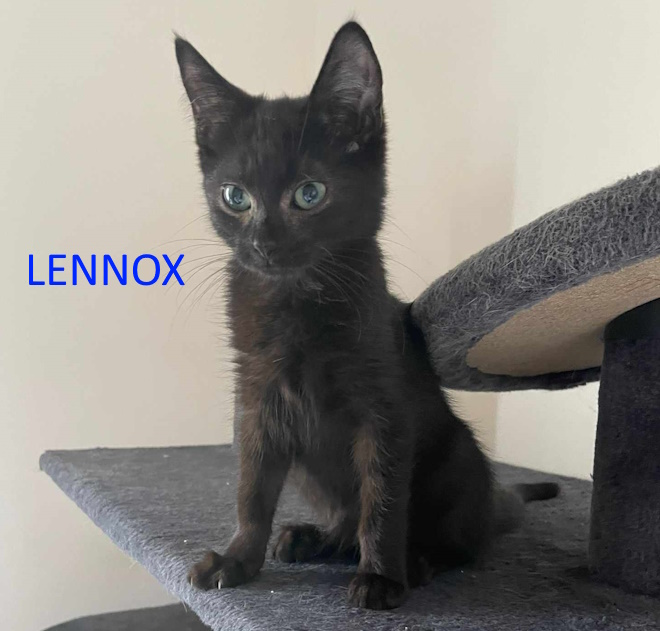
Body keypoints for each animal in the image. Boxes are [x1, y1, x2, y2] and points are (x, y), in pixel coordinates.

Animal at [176, 21, 559, 610]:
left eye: (309, 193)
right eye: (235, 197)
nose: (263, 245)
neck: (295, 301)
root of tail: (494, 504)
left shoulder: (384, 409)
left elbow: (382, 497)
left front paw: (381, 576)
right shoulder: (257, 400)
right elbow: (252, 487)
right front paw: (239, 559)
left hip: (458, 455)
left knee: (462, 543)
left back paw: (416, 560)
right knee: (343, 514)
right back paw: (313, 537)